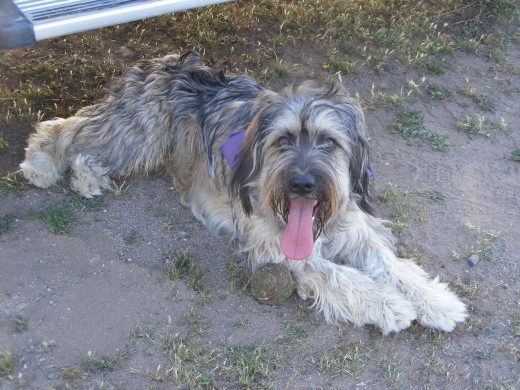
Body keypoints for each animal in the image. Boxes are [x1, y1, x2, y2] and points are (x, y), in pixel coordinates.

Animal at [20, 50, 468, 334]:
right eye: (283, 141)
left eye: (329, 143)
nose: (302, 184)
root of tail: (164, 63)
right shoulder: (276, 246)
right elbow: (337, 273)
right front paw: (390, 305)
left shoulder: (354, 226)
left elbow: (393, 264)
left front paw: (436, 301)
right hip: (137, 135)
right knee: (67, 127)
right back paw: (46, 166)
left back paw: (81, 174)